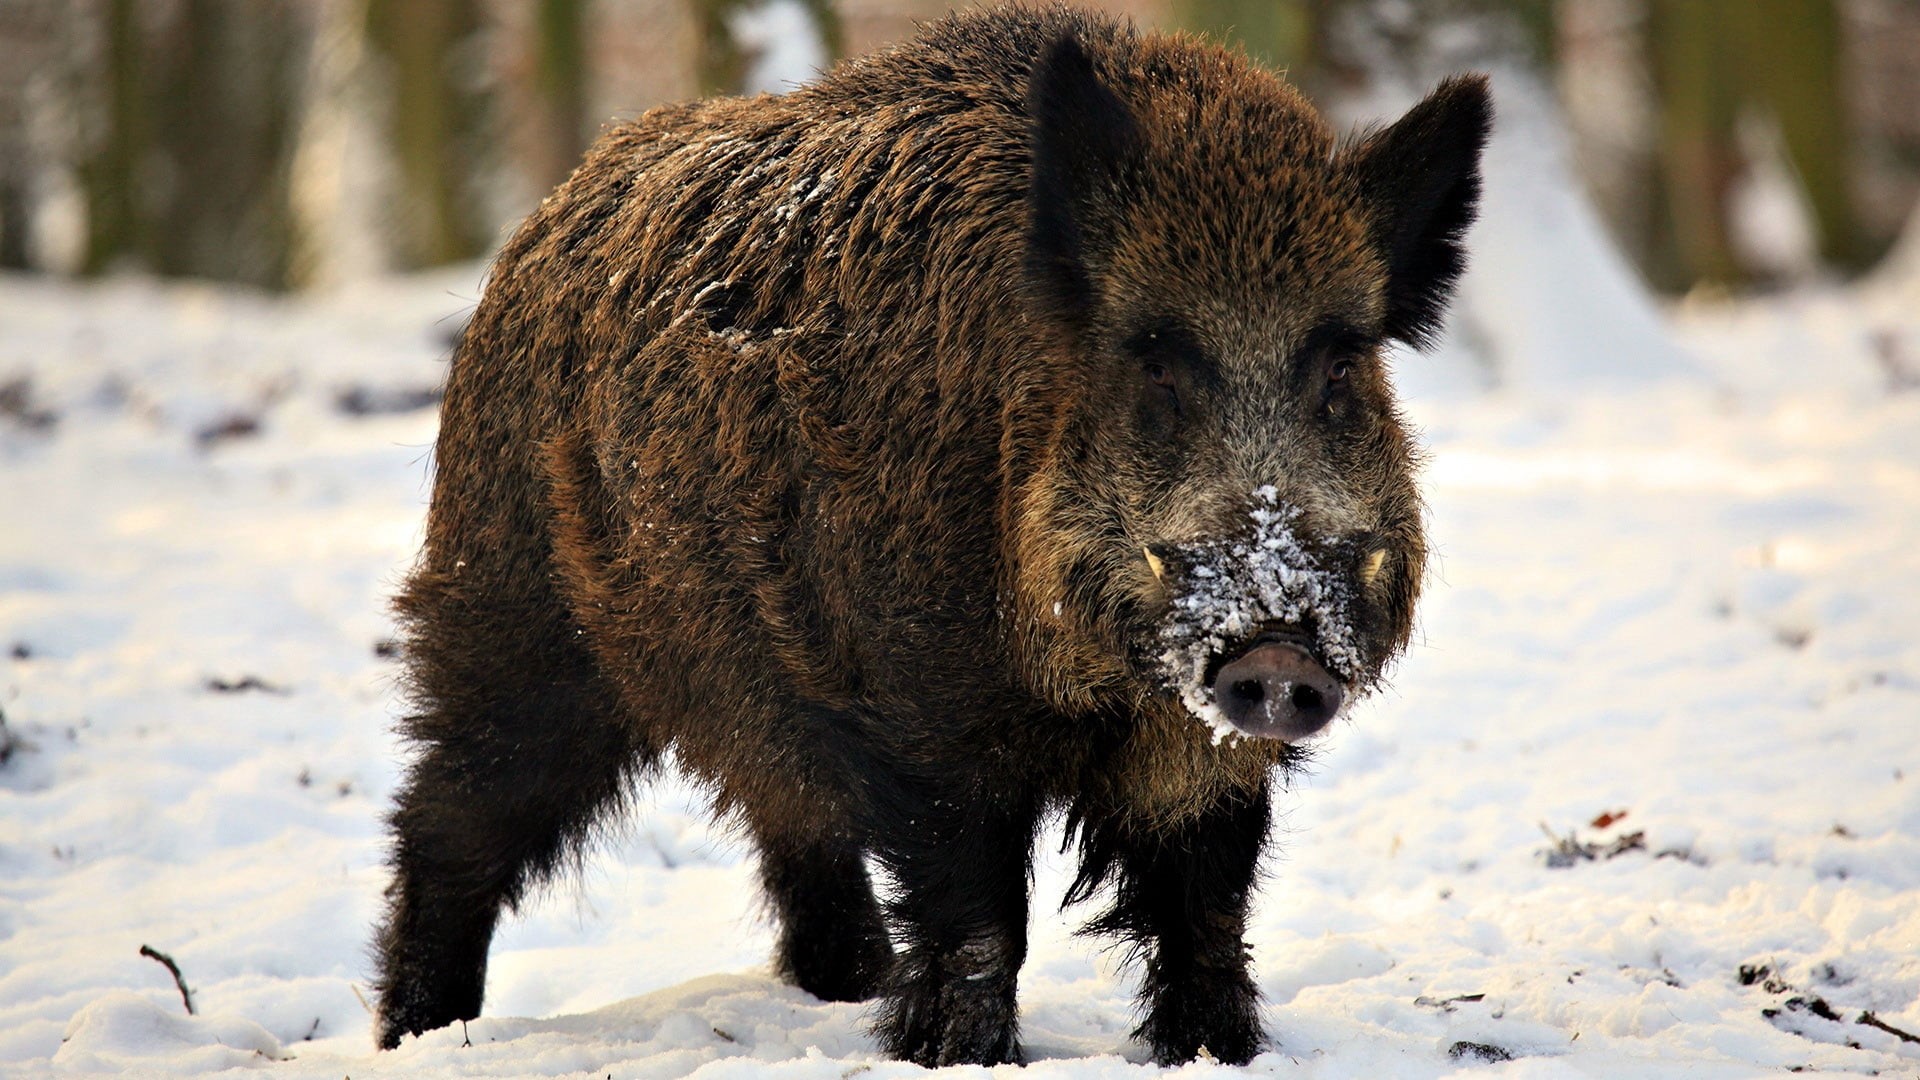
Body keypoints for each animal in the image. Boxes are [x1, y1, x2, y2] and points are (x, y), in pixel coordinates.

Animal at [371, 4, 1488, 1067]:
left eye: (1340, 363)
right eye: (1155, 359)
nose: (1277, 653)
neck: (1099, 685)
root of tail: (546, 219)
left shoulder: (1198, 751)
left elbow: (1205, 912)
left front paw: (1220, 1052)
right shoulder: (923, 709)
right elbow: (980, 921)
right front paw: (961, 1056)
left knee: (790, 819)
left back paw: (848, 989)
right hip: (515, 612)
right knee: (451, 813)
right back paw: (419, 1034)